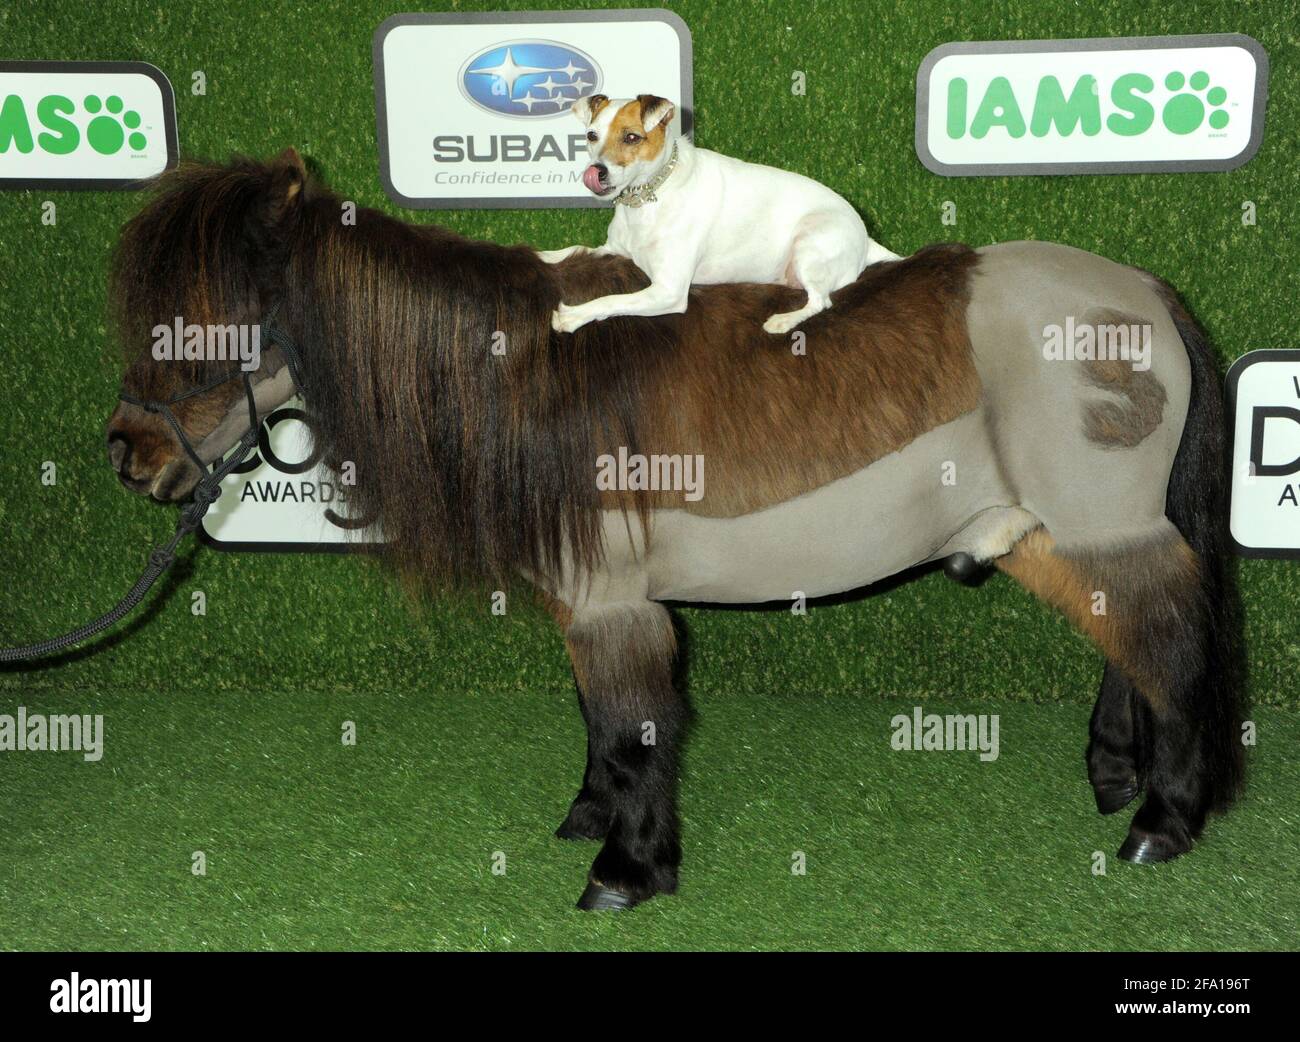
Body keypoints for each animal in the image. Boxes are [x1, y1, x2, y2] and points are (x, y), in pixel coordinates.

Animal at [101, 148, 1237, 909]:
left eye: (211, 315)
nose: (129, 454)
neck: (526, 371)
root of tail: (1144, 292)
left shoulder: (615, 603)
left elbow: (631, 727)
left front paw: (628, 868)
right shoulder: (589, 603)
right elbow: (599, 726)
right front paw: (591, 820)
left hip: (1104, 526)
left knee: (1177, 647)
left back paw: (1163, 820)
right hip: (1055, 534)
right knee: (1128, 642)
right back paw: (1114, 775)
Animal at [538, 94, 894, 332]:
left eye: (631, 137)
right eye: (591, 136)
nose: (596, 172)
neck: (650, 198)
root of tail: (866, 237)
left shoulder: (669, 291)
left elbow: (613, 300)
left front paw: (574, 315)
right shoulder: (611, 249)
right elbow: (574, 249)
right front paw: (543, 255)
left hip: (810, 244)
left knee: (821, 301)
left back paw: (783, 320)